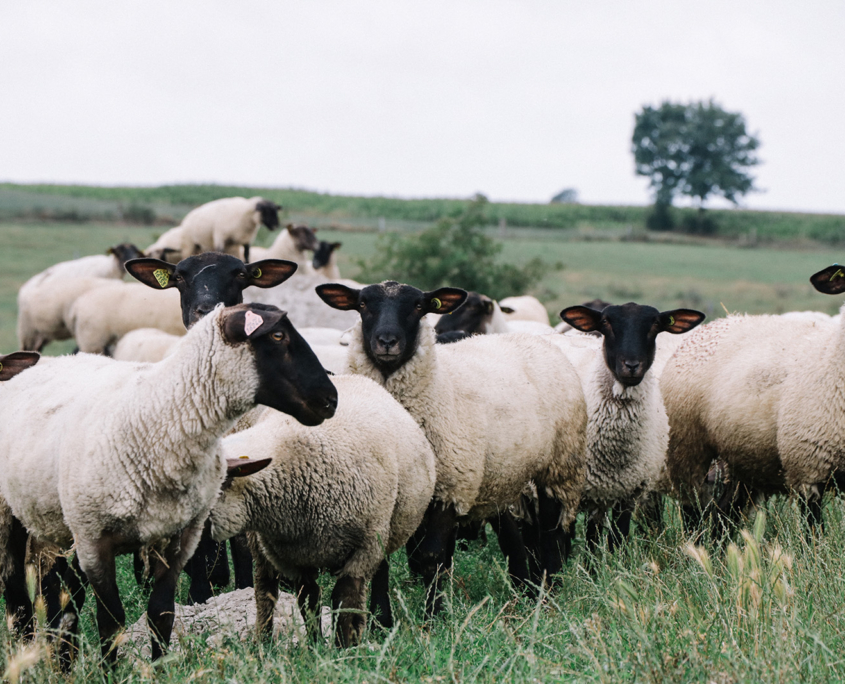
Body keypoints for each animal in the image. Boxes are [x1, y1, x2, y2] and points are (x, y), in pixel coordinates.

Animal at [0, 302, 336, 664]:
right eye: (277, 335)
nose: (331, 399)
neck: (157, 415)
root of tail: (47, 362)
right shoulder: (93, 540)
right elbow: (111, 622)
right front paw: (110, 670)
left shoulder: (179, 537)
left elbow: (161, 615)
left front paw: (159, 666)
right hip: (11, 516)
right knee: (18, 592)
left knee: (61, 597)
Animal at [16, 243, 145, 352]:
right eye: (119, 253)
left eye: (135, 252)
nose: (128, 262)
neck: (109, 269)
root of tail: (26, 286)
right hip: (28, 331)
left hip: (40, 334)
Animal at [209, 374, 436, 648]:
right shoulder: (291, 557)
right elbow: (308, 599)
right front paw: (315, 645)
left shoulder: (365, 545)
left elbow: (345, 597)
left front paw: (345, 646)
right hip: (261, 547)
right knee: (265, 589)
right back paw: (262, 641)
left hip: (385, 529)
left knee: (379, 573)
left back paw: (379, 622)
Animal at [316, 280, 588, 612]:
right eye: (363, 304)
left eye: (419, 306)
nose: (387, 341)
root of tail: (538, 340)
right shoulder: (397, 494)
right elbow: (389, 561)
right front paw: (384, 617)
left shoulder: (453, 483)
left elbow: (430, 556)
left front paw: (434, 613)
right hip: (508, 475)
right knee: (520, 534)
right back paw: (528, 587)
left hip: (559, 464)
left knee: (552, 531)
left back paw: (550, 592)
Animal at [664, 264, 845, 532]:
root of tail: (720, 322)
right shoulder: (807, 470)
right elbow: (814, 533)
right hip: (686, 449)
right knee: (691, 510)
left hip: (742, 460)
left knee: (724, 516)